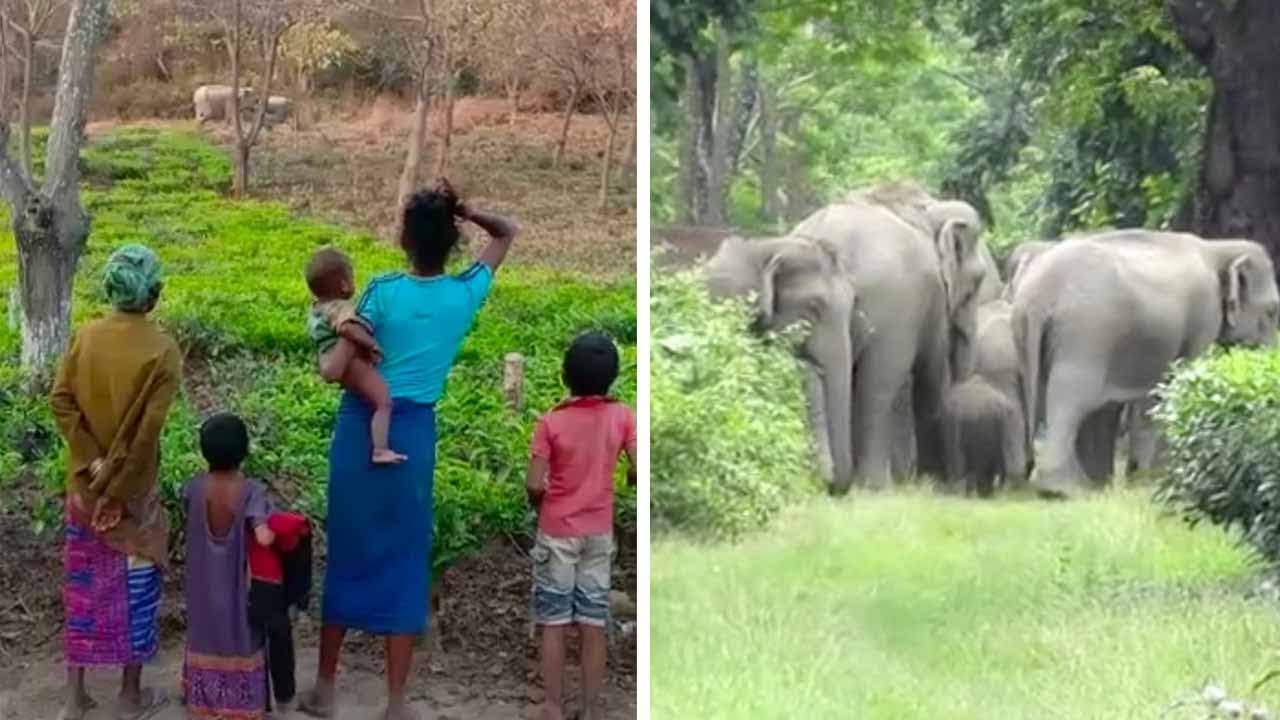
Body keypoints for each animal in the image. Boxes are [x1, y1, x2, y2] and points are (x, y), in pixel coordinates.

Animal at [705, 183, 990, 493]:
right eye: (978, 280)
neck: (925, 209)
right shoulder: (926, 303)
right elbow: (931, 378)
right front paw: (930, 485)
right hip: (893, 313)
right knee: (877, 387)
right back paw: (874, 486)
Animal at [1012, 230, 1280, 498]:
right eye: (1272, 311)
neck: (1217, 248)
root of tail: (1039, 293)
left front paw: (1125, 480)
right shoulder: (1204, 315)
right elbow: (1176, 382)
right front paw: (1151, 478)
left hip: (1030, 335)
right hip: (1086, 334)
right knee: (1071, 398)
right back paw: (1063, 489)